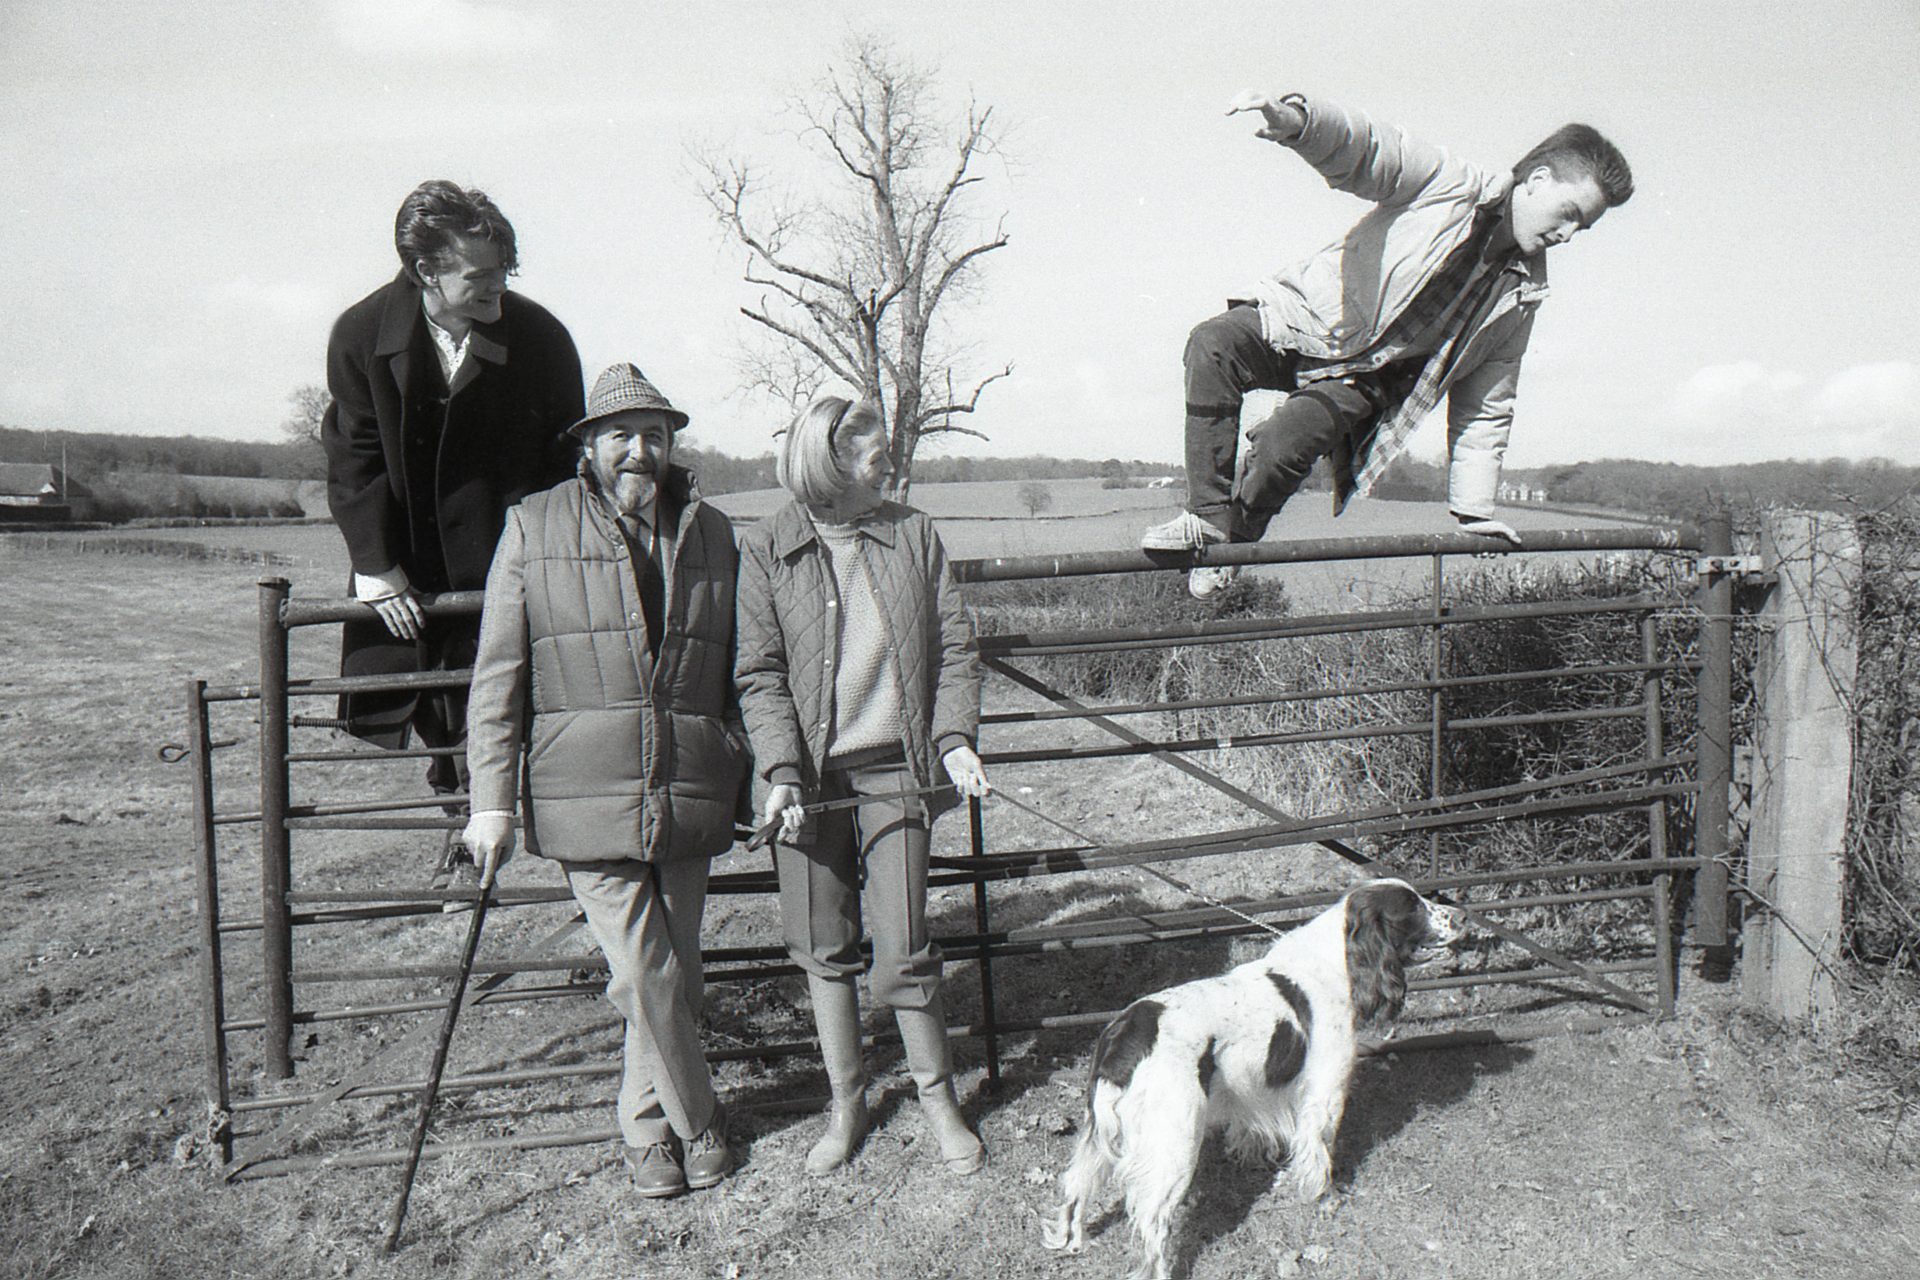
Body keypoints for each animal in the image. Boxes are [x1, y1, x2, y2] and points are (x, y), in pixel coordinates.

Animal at [1044, 882, 1459, 1280]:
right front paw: (1326, 1199)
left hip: (1102, 1131)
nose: (1462, 915)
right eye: (1413, 906)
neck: (1335, 964)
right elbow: (1319, 1152)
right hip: (1174, 1143)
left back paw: (1070, 1241)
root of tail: (1126, 1033)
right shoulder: (1324, 1092)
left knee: (1076, 1184)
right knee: (1151, 1219)